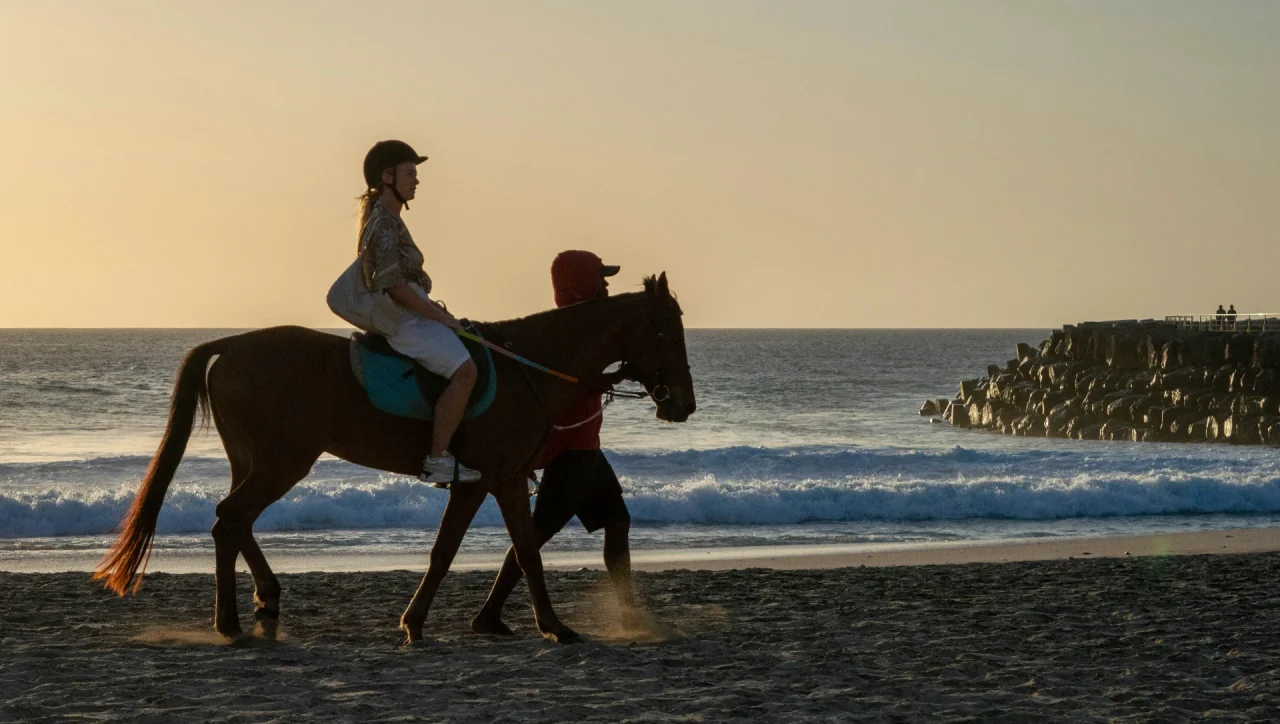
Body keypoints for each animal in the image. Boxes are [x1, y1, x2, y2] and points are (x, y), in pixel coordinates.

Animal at [94, 273, 694, 644]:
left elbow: (483, 551)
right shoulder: (490, 479)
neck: (527, 368)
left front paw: (429, 620)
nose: (684, 403)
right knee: (229, 519)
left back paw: (256, 606)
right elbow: (496, 551)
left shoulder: (491, 481)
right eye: (669, 330)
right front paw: (550, 626)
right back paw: (236, 617)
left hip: (255, 463)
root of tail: (233, 344)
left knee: (233, 524)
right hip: (282, 463)